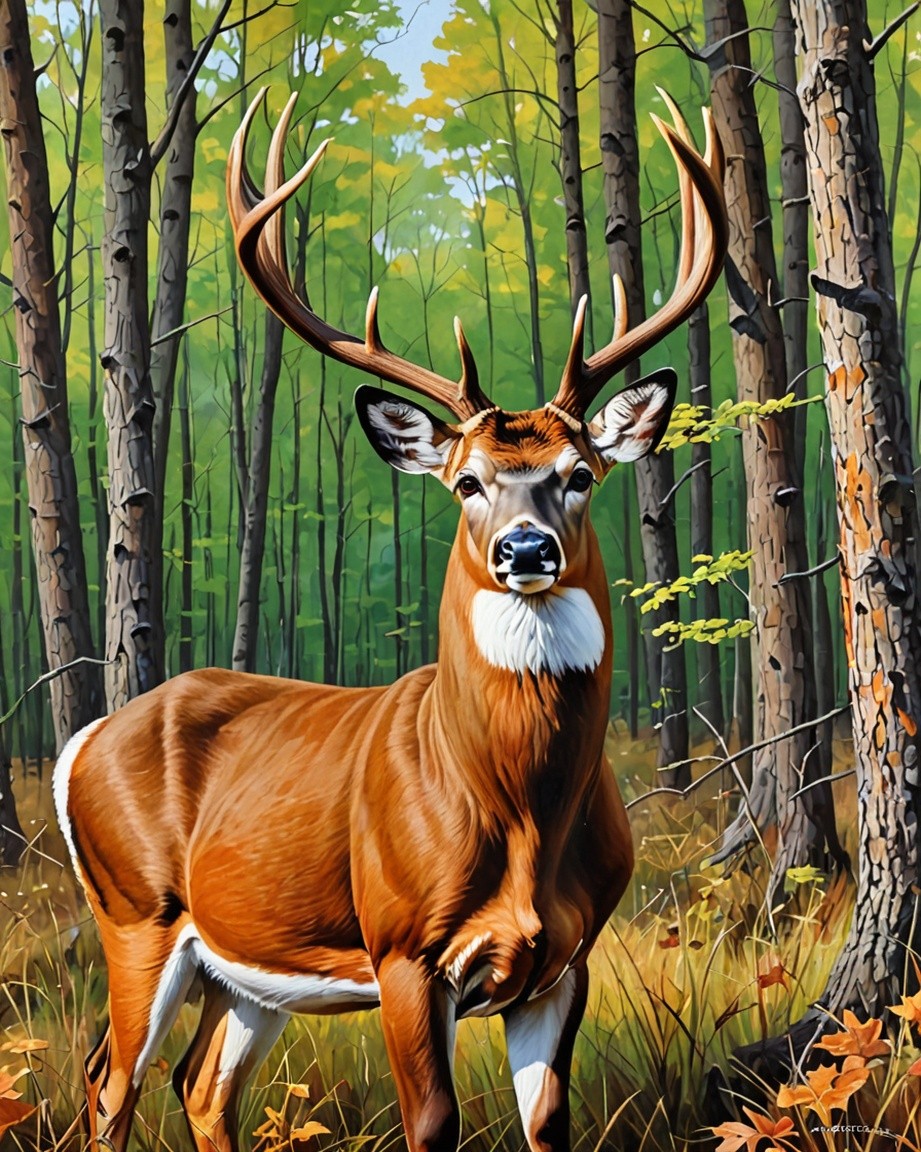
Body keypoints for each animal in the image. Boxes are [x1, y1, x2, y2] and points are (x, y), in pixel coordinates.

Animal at [53, 89, 726, 1152]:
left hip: (247, 969)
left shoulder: (566, 961)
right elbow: (433, 1124)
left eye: (579, 474)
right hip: (137, 912)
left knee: (200, 1085)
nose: (525, 550)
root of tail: (81, 742)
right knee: (109, 1084)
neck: (517, 812)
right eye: (466, 482)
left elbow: (547, 1126)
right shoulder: (404, 947)